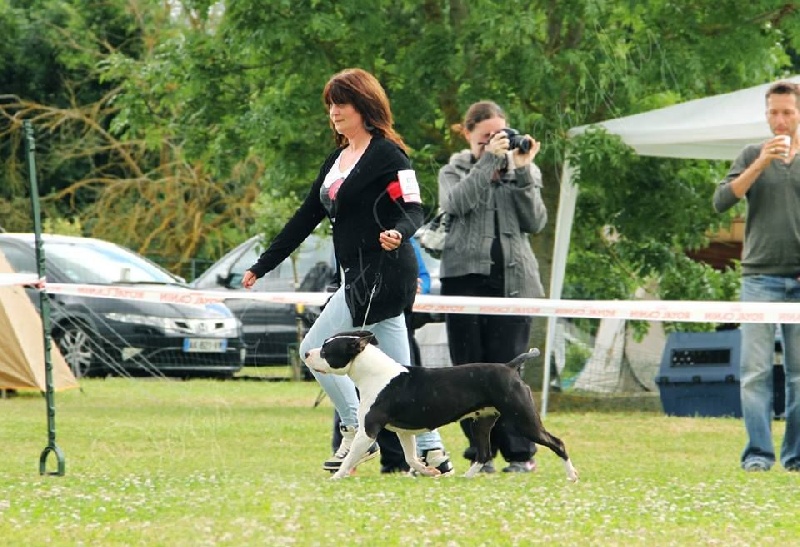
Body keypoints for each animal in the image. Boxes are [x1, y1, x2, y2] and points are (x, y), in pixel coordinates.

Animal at [305, 330, 579, 482]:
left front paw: (337, 477)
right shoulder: (404, 432)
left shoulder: (368, 431)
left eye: (327, 350)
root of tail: (511, 366)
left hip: (524, 420)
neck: (373, 373)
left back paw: (572, 475)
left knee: (557, 443)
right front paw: (429, 472)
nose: (307, 353)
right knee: (483, 453)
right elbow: (411, 458)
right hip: (481, 422)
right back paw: (465, 478)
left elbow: (351, 457)